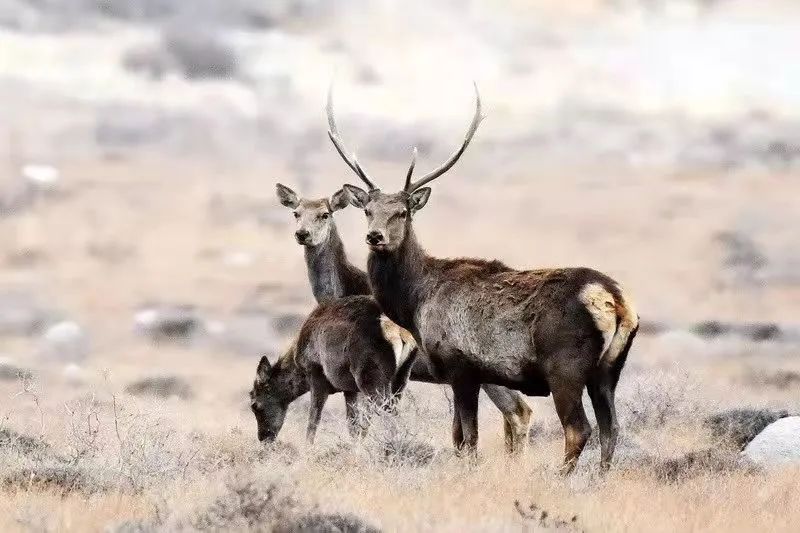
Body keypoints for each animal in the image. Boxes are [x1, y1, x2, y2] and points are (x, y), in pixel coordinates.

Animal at [249, 295, 417, 444]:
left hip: (369, 377)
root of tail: (398, 333)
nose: (264, 438)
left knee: (387, 410)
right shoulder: (350, 389)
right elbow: (353, 426)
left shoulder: (316, 376)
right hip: (402, 376)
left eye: (255, 405)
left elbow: (313, 421)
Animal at [327, 84, 639, 472]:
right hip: (610, 368)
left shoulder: (461, 366)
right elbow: (458, 437)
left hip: (565, 366)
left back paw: (559, 478)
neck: (415, 302)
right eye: (368, 211)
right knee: (612, 429)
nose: (375, 236)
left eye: (402, 212)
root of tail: (616, 300)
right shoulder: (459, 374)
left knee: (579, 429)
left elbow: (468, 440)